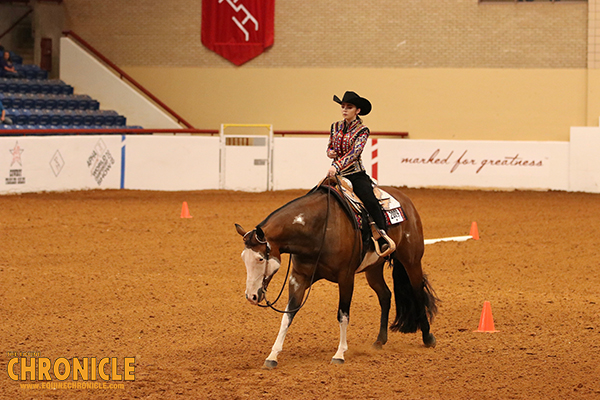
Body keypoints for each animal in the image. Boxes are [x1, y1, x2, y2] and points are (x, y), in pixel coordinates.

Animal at [234, 184, 436, 368]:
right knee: (385, 295)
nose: (251, 296)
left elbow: (343, 315)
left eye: (260, 258)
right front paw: (272, 356)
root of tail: (405, 200)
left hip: (411, 260)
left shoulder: (346, 278)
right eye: (243, 258)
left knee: (417, 292)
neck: (319, 229)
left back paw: (427, 337)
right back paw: (380, 340)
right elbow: (288, 315)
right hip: (373, 268)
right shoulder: (298, 278)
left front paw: (339, 354)